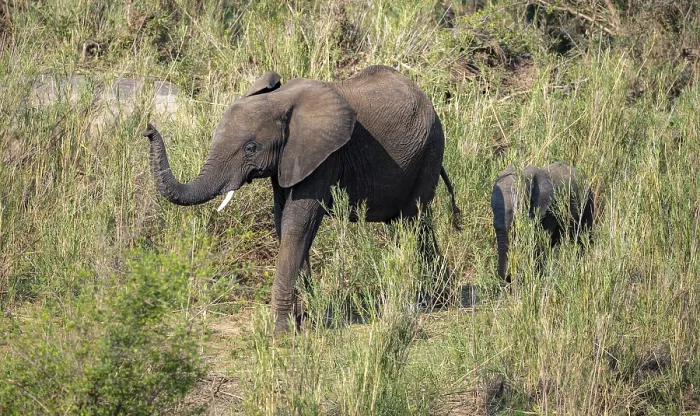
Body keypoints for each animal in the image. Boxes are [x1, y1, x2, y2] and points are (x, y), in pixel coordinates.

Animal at [142, 65, 460, 332]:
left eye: (251, 148)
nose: (148, 128)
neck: (281, 101)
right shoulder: (288, 159)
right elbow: (284, 222)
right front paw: (304, 319)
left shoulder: (325, 156)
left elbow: (298, 221)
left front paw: (281, 330)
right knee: (410, 223)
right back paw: (440, 297)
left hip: (431, 147)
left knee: (412, 221)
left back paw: (416, 304)